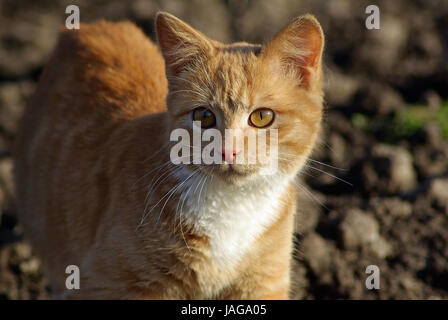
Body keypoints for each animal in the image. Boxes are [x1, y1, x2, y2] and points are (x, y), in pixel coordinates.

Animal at [13, 11, 322, 298]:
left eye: (261, 117)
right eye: (204, 116)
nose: (228, 150)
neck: (229, 206)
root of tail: (88, 27)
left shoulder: (264, 281)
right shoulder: (101, 284)